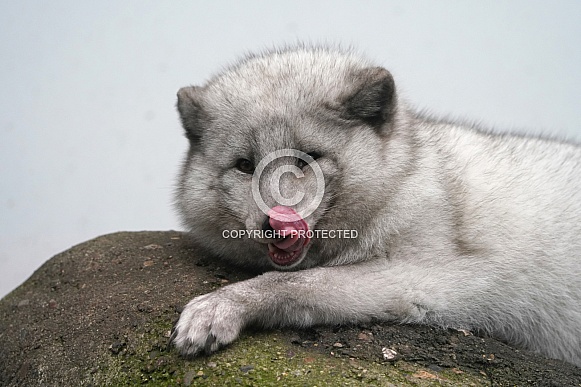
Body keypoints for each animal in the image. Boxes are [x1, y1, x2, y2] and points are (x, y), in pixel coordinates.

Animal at [170, 44, 576, 366]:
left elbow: (295, 282)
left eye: (307, 158)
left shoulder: (427, 280)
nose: (276, 225)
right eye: (244, 165)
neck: (406, 178)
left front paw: (220, 307)